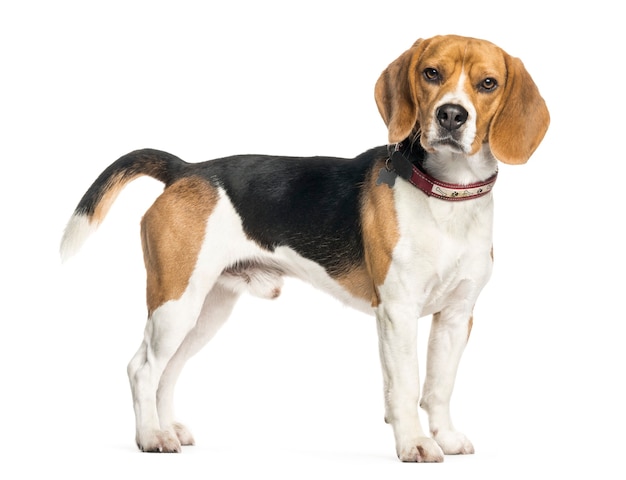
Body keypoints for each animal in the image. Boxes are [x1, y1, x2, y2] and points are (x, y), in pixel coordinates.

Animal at [58, 33, 544, 462]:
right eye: (431, 73)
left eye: (488, 83)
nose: (451, 116)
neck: (445, 195)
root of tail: (186, 169)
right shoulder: (397, 312)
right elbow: (406, 386)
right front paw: (415, 445)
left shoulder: (457, 315)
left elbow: (440, 386)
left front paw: (444, 436)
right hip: (174, 303)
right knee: (141, 369)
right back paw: (150, 437)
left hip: (204, 310)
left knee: (168, 371)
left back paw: (167, 428)